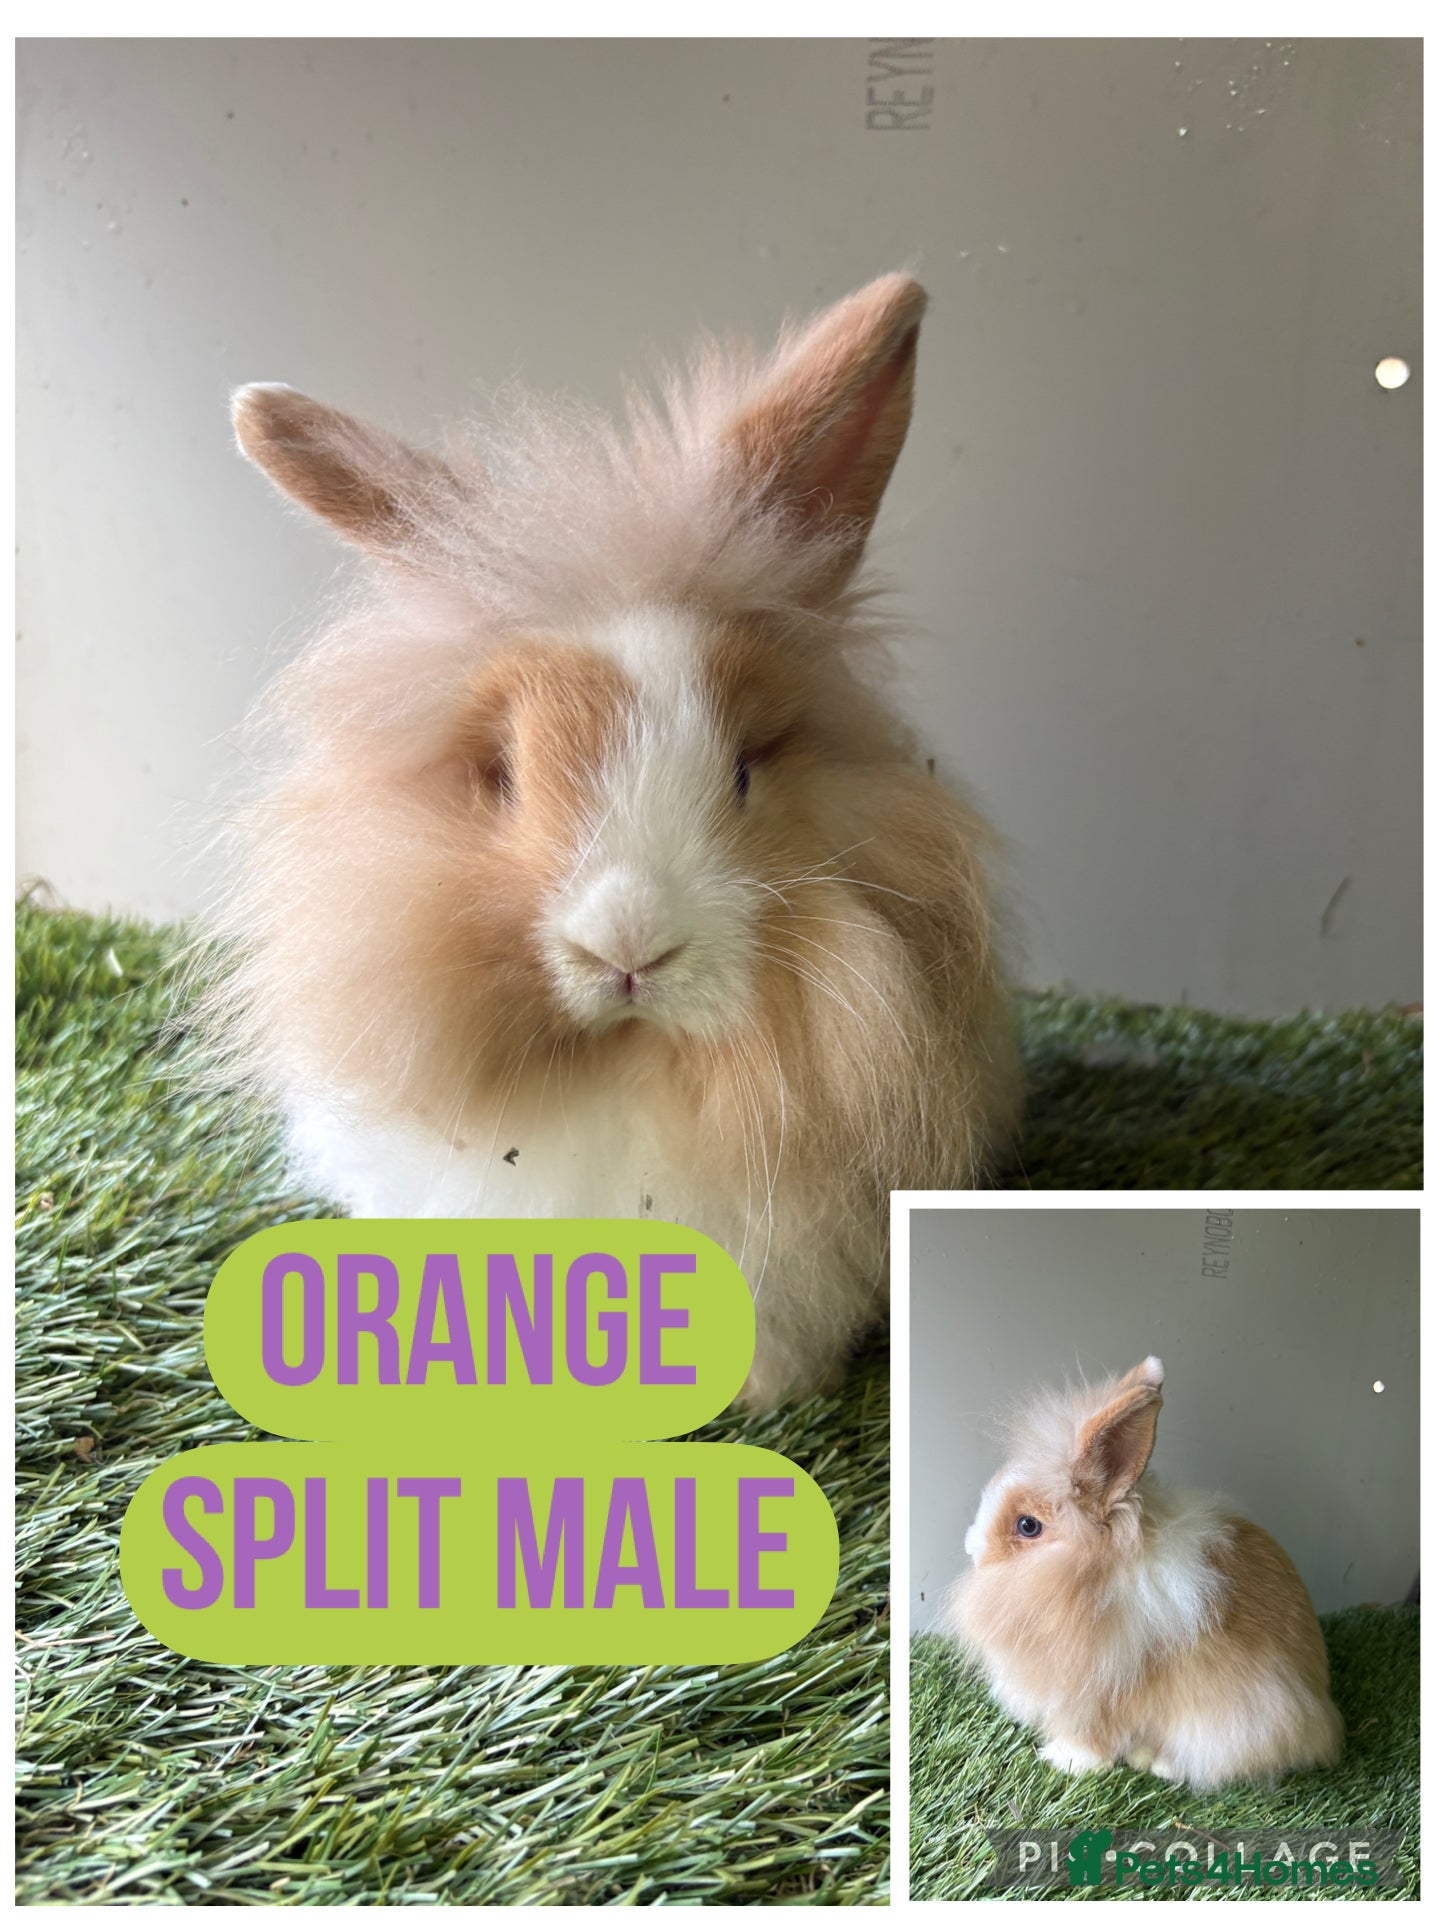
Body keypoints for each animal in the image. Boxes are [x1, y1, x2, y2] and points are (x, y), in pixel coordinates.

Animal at [945, 1356, 1344, 1789]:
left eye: (1028, 1526)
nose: (970, 1547)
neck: (1093, 1580)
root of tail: (1322, 1706)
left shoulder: (1103, 1692)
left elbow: (1094, 1736)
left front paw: (1064, 1761)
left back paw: (1159, 1763)